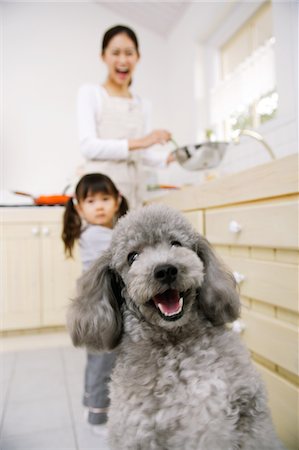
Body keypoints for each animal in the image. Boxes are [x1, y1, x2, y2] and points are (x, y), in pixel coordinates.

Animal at [68, 205, 286, 450]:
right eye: (133, 257)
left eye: (176, 243)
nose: (165, 270)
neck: (175, 343)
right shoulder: (137, 433)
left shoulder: (249, 408)